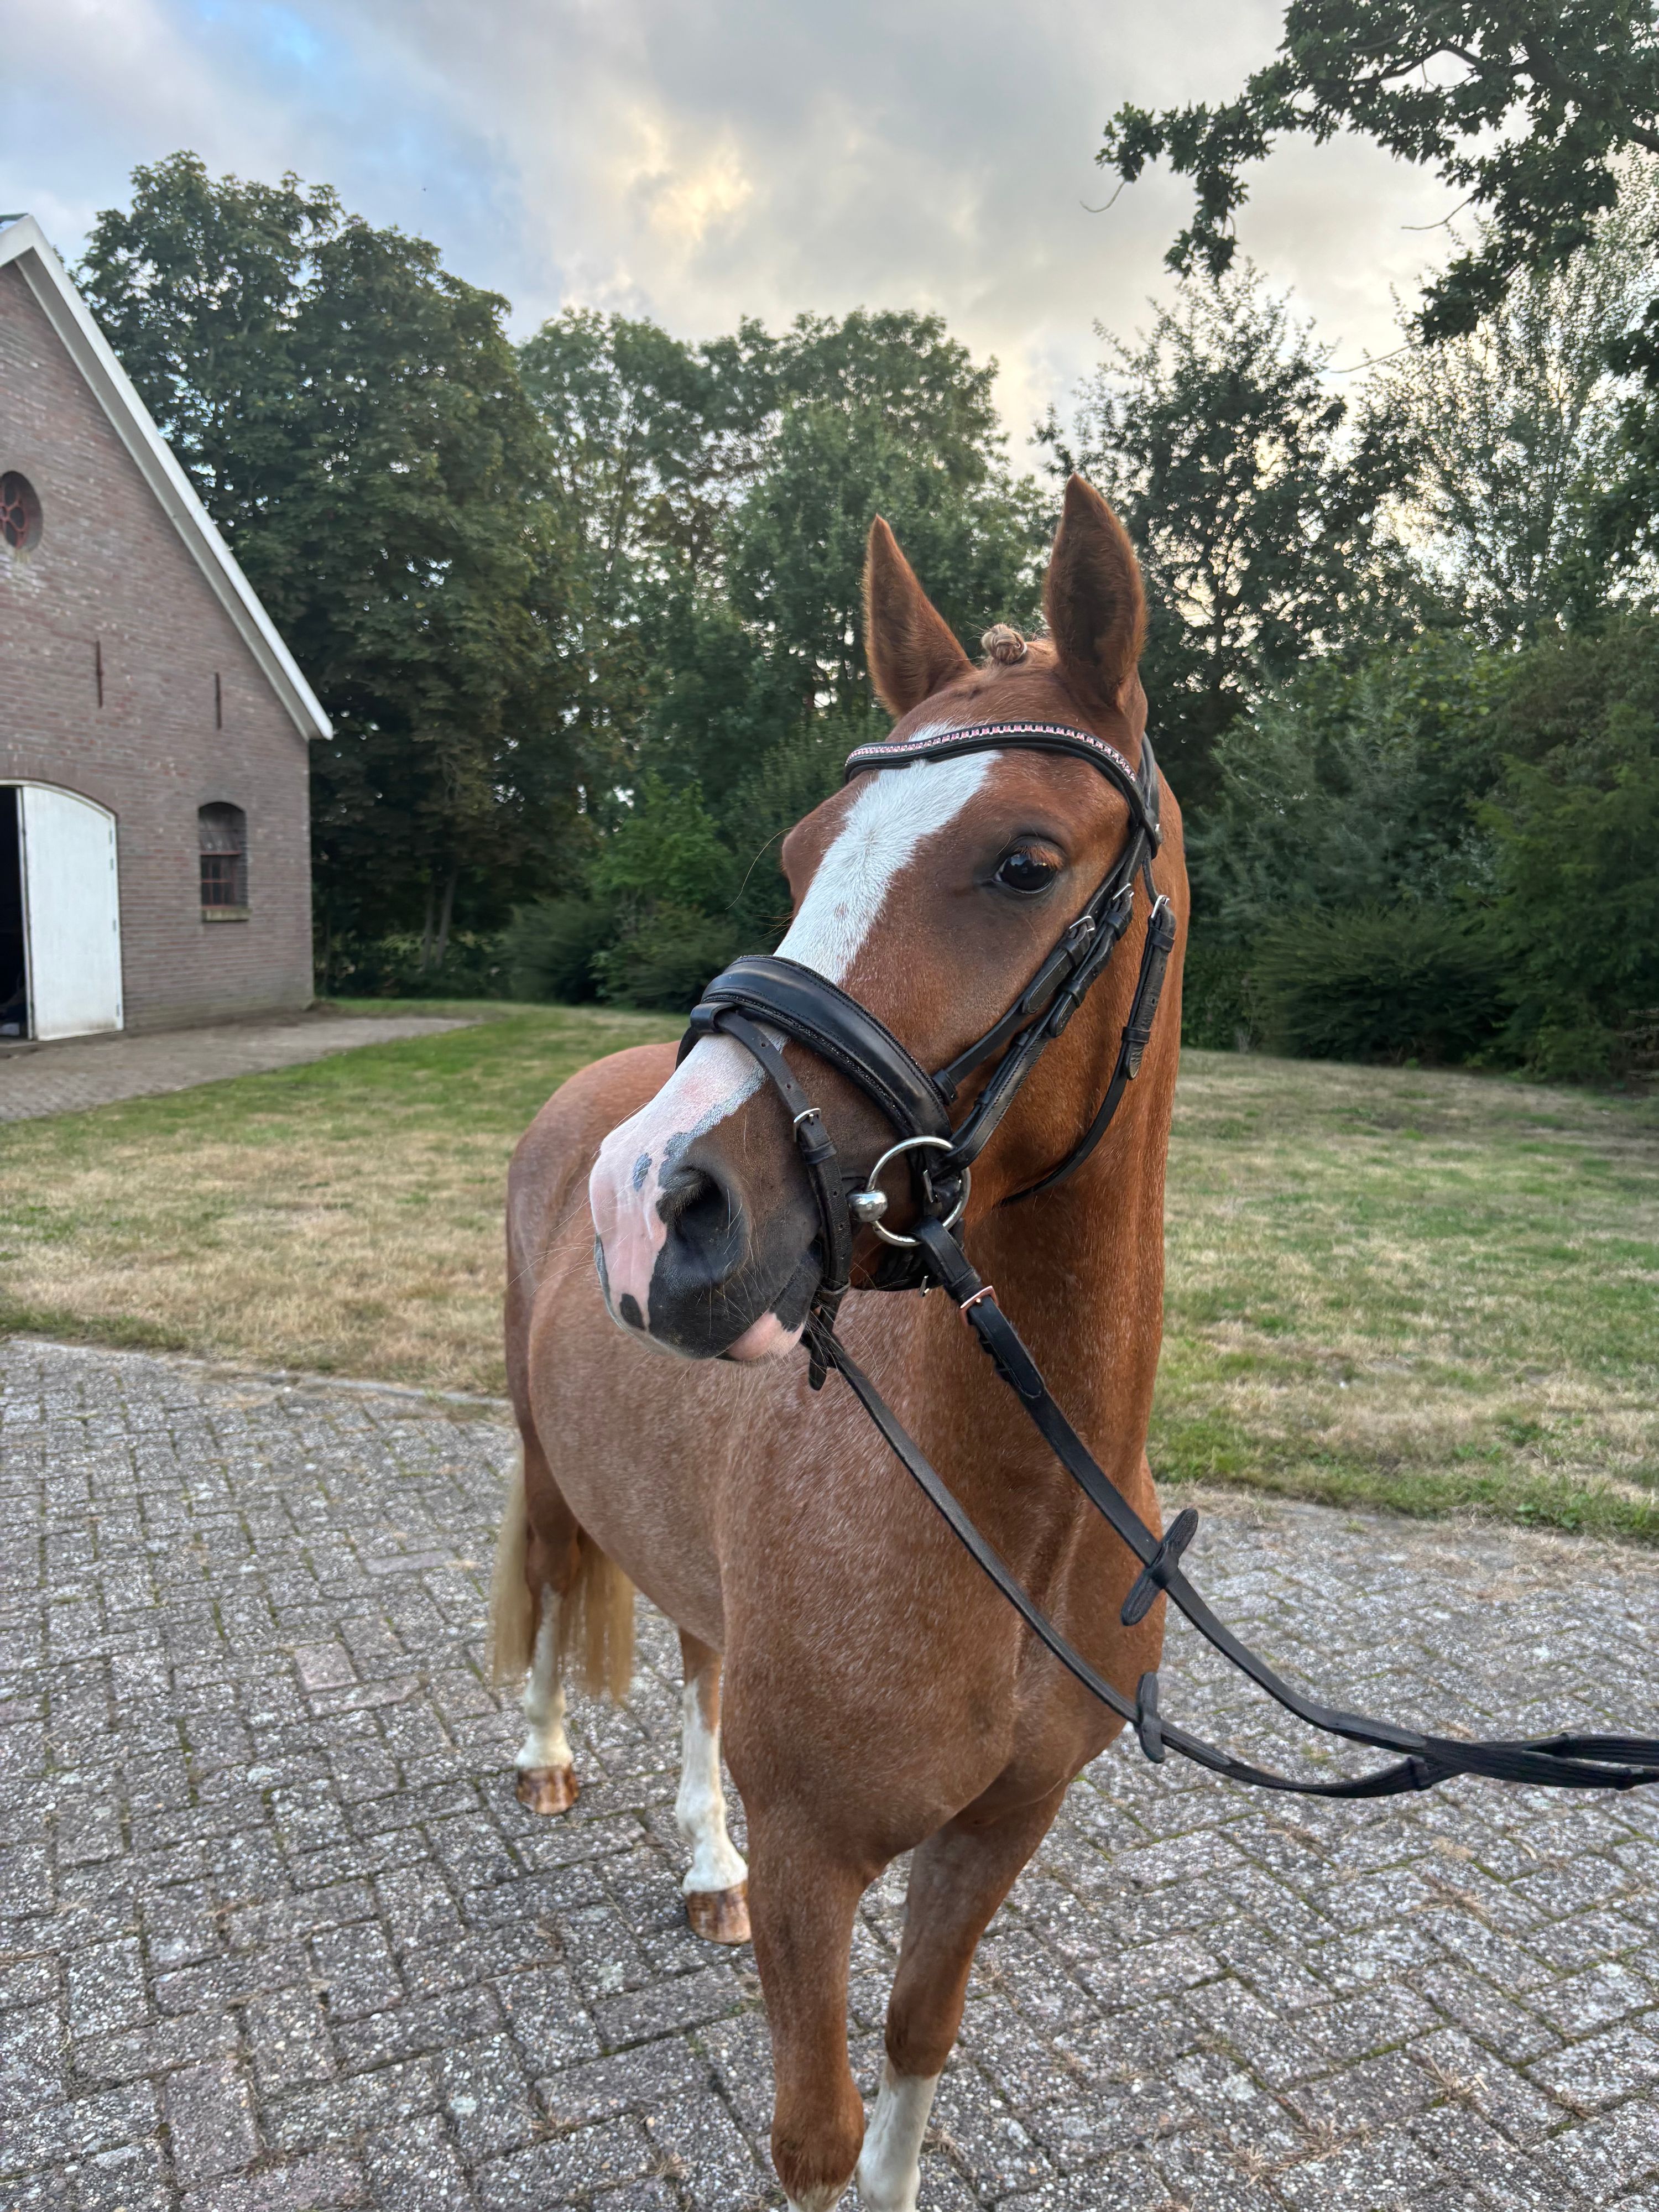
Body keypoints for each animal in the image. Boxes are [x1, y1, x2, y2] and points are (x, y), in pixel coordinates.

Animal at [489, 474, 1186, 2212]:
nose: (651, 1204)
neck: (1010, 1507)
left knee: (692, 1650)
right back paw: (544, 1754)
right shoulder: (821, 1864)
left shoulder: (997, 1834)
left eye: (1023, 861)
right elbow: (812, 2137)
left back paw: (701, 1858)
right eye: (805, 849)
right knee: (553, 1579)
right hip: (546, 1461)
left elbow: (917, 2050)